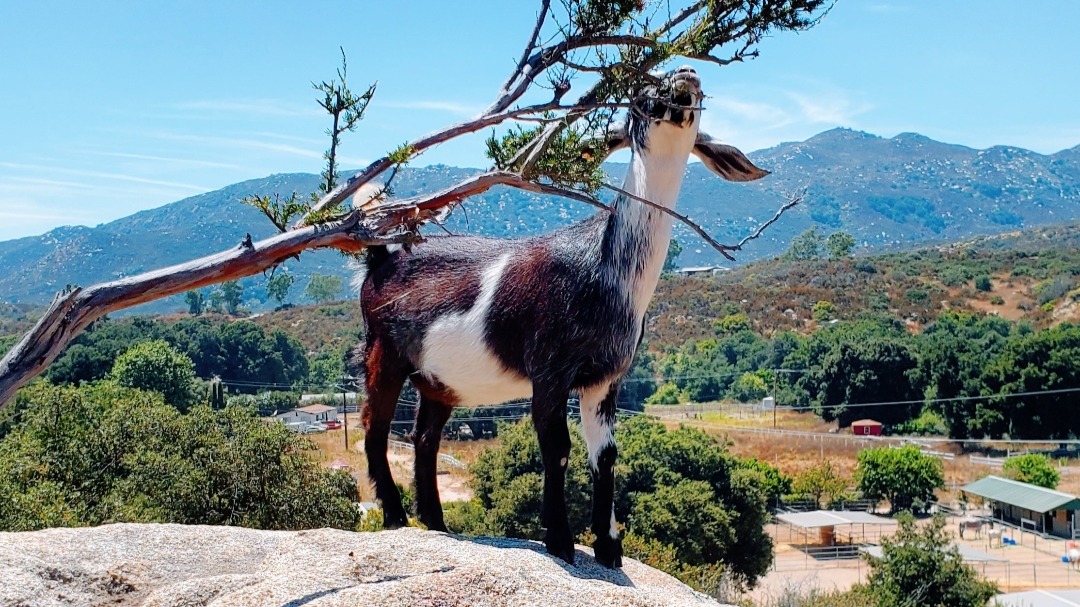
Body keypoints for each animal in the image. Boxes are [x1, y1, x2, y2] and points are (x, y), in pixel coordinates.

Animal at [349, 65, 768, 568]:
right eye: (641, 94)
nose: (686, 75)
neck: (606, 272)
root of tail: (381, 256)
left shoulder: (605, 377)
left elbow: (605, 454)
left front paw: (609, 546)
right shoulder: (549, 368)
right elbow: (557, 447)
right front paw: (561, 540)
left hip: (437, 379)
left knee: (424, 438)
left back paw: (435, 521)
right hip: (383, 351)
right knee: (375, 427)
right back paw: (395, 515)